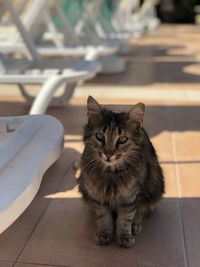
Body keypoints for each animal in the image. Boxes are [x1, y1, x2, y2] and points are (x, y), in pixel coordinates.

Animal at [78, 96, 164, 249]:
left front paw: (125, 236)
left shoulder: (131, 197)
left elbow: (125, 219)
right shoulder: (98, 196)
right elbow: (104, 217)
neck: (111, 173)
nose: (108, 154)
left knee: (143, 210)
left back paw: (136, 225)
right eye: (100, 136)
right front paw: (104, 233)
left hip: (155, 185)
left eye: (122, 139)